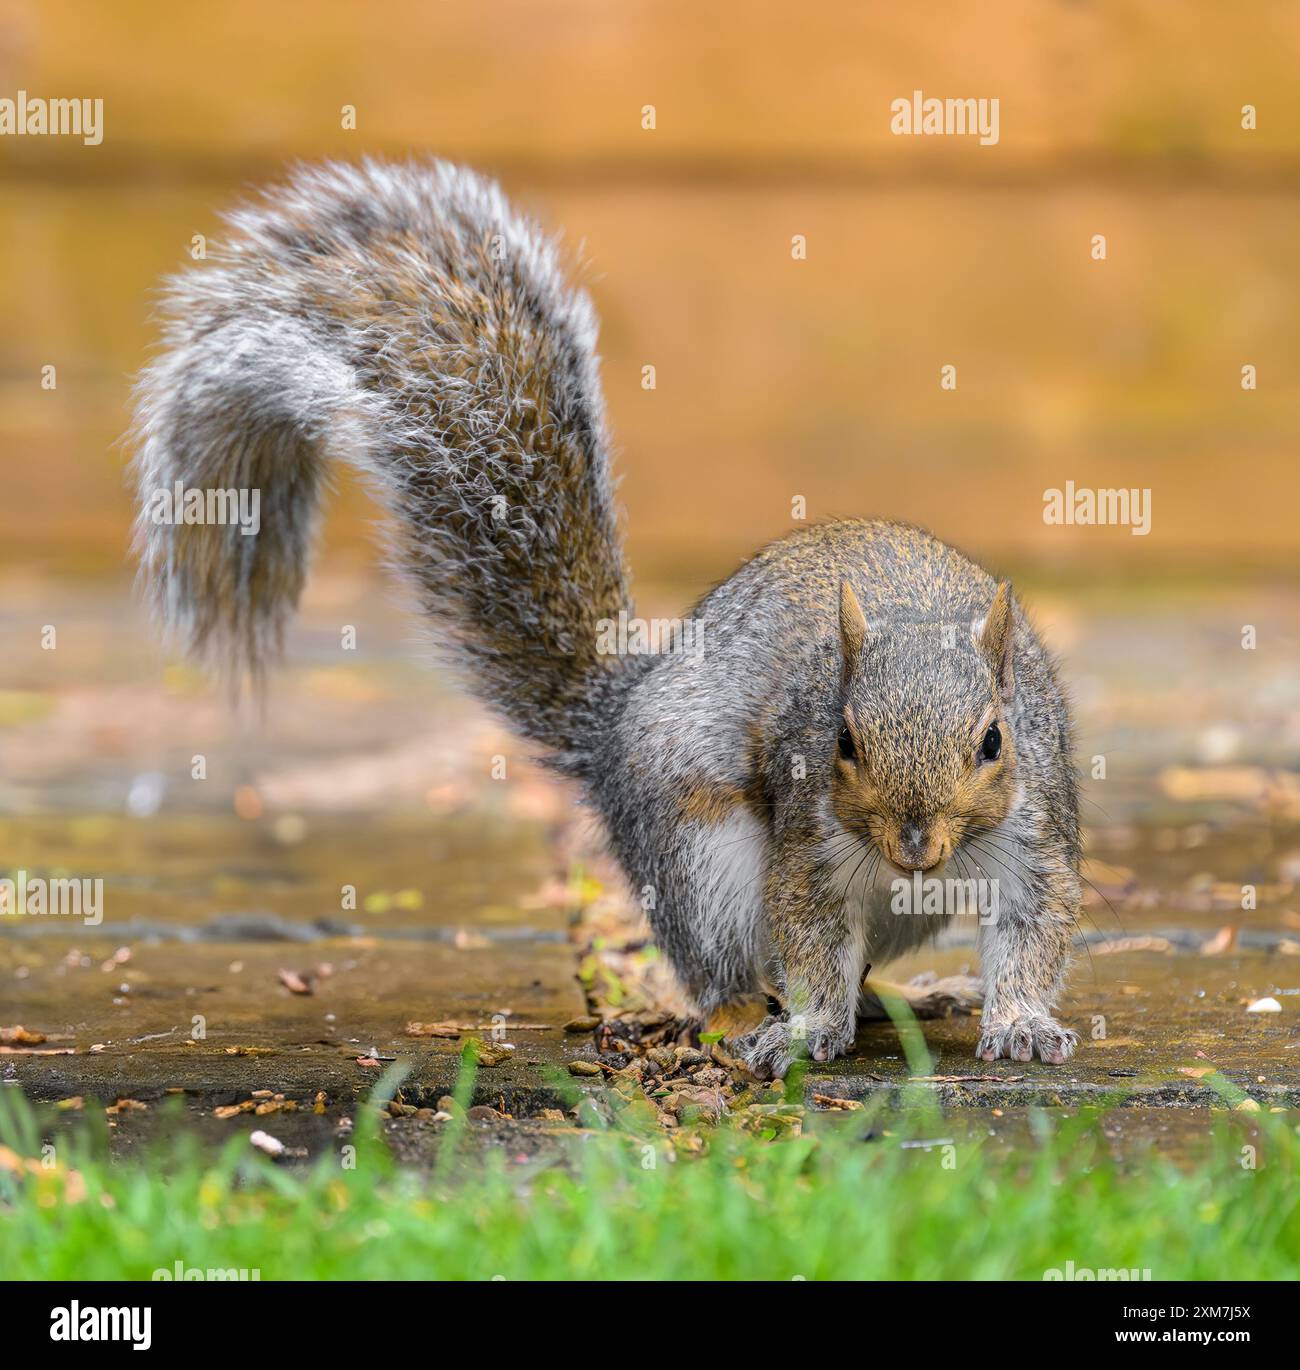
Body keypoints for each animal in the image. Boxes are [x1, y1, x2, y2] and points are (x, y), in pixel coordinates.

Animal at [134, 160, 1073, 1074]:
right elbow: (809, 941)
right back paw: (750, 1021)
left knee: (861, 966)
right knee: (728, 972)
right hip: (699, 854)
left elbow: (1033, 933)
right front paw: (808, 1030)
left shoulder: (1035, 837)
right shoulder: (806, 841)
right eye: (841, 741)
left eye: (994, 741)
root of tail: (614, 726)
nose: (915, 844)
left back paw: (907, 995)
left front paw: (1023, 1021)